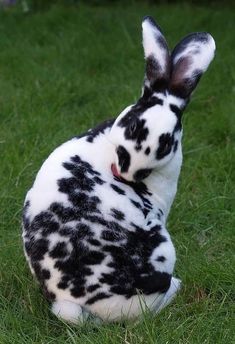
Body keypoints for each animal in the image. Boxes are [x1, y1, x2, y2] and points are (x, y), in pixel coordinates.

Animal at [22, 15, 215, 322]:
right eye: (133, 124)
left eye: (166, 142)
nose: (125, 173)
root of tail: (71, 302)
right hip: (162, 248)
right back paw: (176, 285)